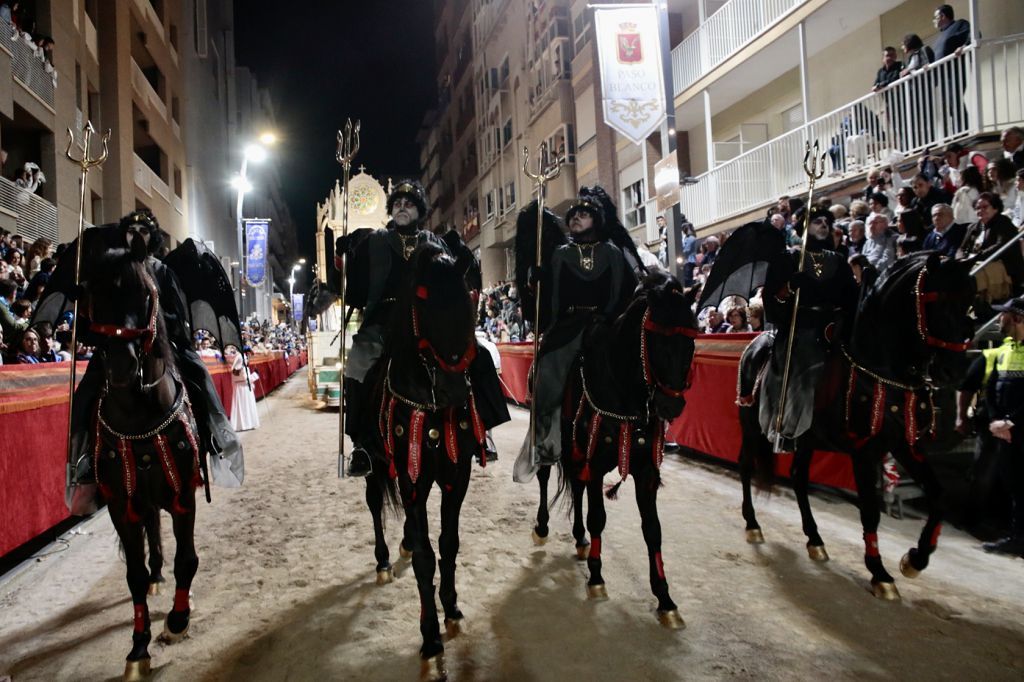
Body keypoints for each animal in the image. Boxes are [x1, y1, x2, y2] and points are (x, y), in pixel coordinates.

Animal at [84, 233, 206, 675]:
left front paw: (177, 620)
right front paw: (138, 647)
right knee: (151, 530)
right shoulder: (122, 505)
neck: (139, 419)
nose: (122, 366)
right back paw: (155, 578)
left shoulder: (184, 495)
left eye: (146, 294)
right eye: (94, 295)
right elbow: (133, 574)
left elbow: (187, 559)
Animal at [362, 241, 485, 675]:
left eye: (469, 299)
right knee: (374, 506)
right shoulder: (411, 479)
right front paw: (430, 636)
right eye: (422, 300)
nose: (454, 390)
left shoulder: (455, 476)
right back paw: (383, 560)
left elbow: (448, 544)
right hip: (375, 466)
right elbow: (424, 558)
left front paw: (451, 608)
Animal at [536, 268, 696, 622]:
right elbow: (598, 516)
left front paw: (664, 597)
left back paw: (580, 537)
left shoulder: (646, 469)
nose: (672, 405)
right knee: (545, 477)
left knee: (576, 487)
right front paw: (596, 576)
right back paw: (542, 525)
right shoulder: (595, 462)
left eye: (691, 340)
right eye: (657, 340)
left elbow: (652, 529)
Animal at [741, 251, 970, 598]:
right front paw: (880, 573)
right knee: (745, 465)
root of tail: (756, 343)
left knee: (798, 477)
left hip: (805, 439)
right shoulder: (865, 449)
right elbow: (870, 511)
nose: (955, 370)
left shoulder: (905, 444)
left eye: (969, 304)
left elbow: (938, 495)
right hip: (750, 425)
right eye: (938, 302)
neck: (882, 368)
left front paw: (915, 559)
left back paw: (815, 540)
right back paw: (753, 524)